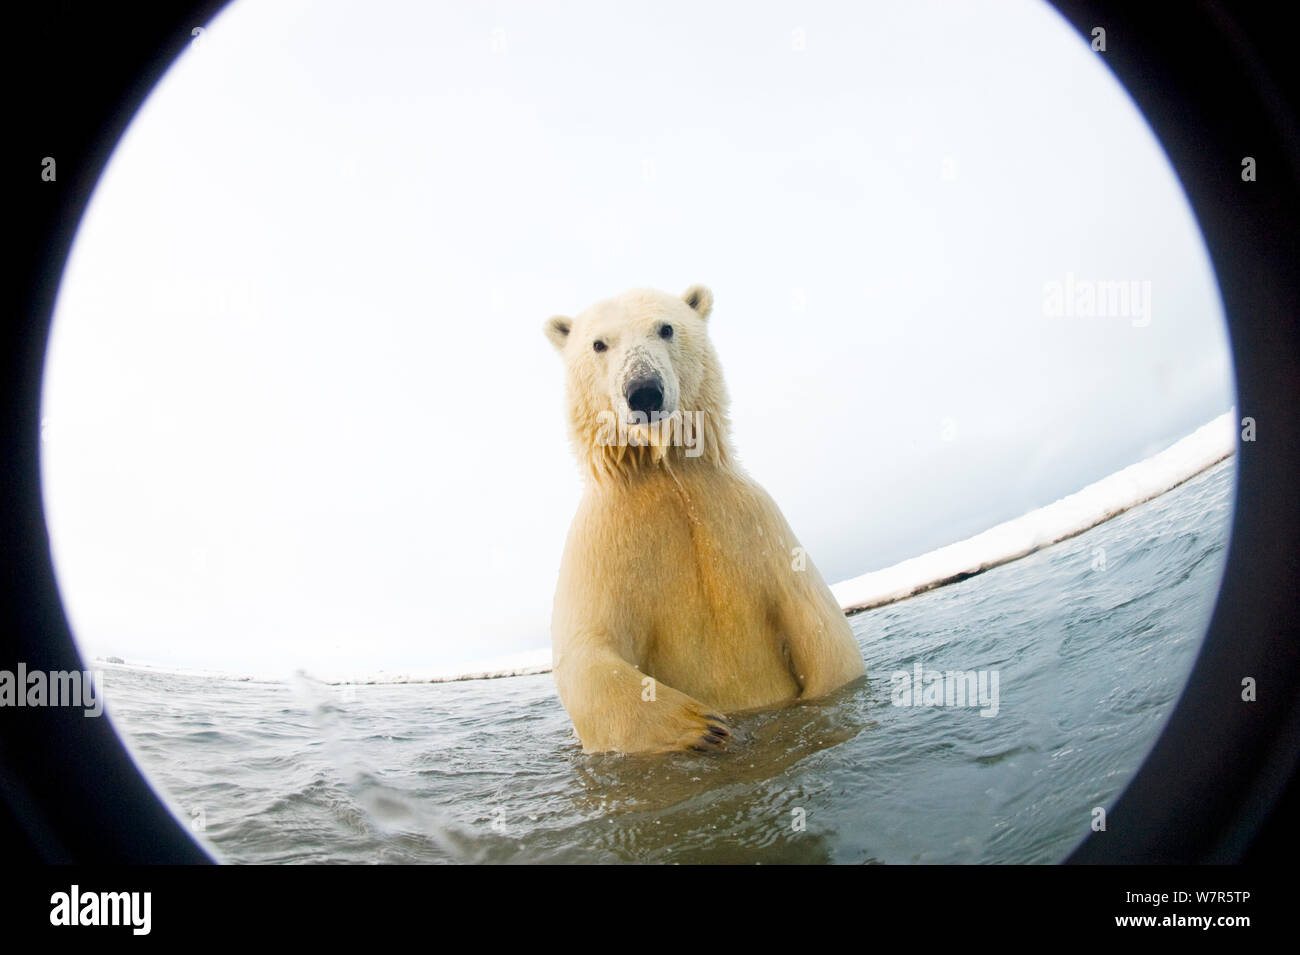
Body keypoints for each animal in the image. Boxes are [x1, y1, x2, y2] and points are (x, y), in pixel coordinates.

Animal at [540, 283, 863, 753]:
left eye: (666, 328)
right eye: (599, 344)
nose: (644, 392)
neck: (668, 473)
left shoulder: (753, 521)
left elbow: (823, 632)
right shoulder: (602, 541)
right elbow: (586, 654)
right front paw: (703, 725)